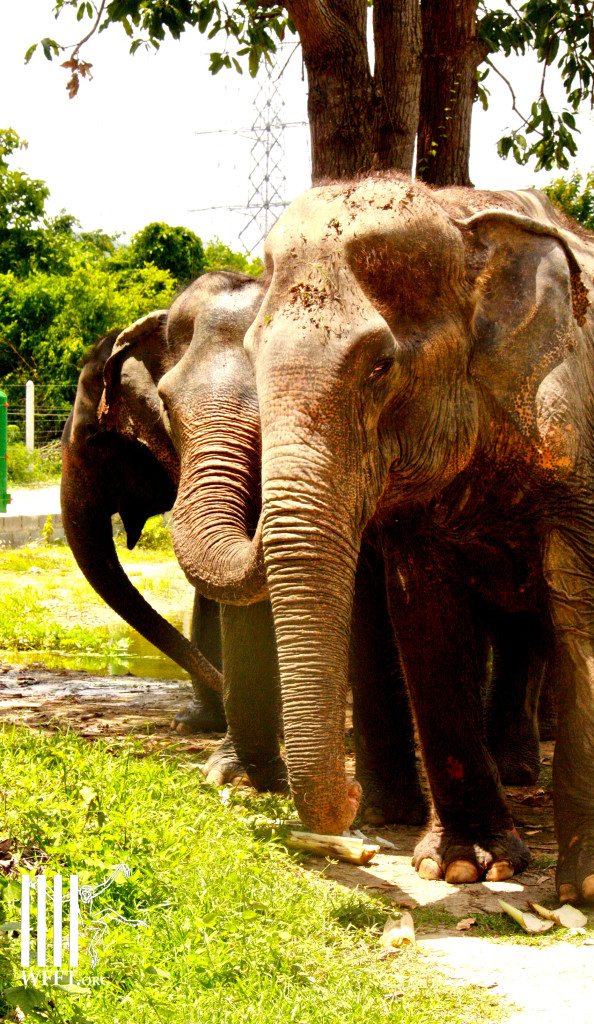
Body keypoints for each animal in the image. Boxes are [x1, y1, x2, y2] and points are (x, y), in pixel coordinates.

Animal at [168, 176, 594, 905]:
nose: (348, 809)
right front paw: (467, 867)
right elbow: (426, 622)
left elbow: (584, 611)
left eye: (380, 366)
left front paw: (582, 887)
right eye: (252, 356)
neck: (458, 215)